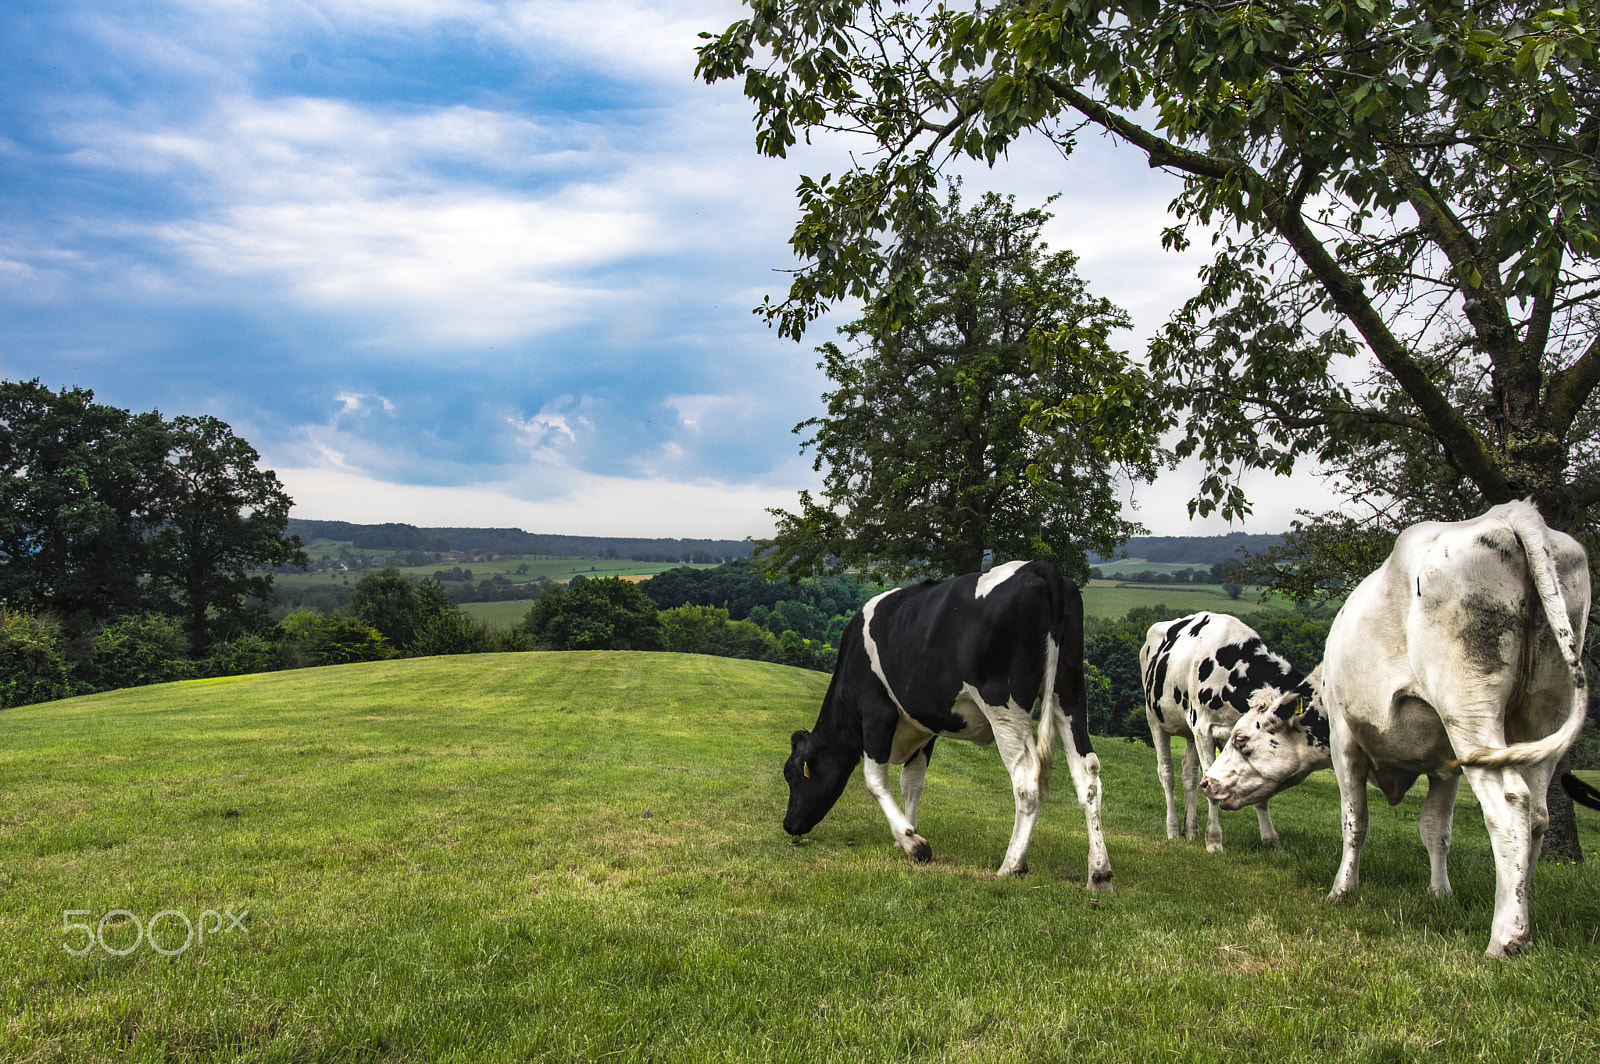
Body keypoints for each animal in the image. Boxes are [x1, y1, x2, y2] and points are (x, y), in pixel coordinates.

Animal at [782, 560, 1113, 889]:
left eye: (791, 776)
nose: (788, 824)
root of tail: (1040, 568)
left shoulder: (877, 714)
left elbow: (874, 781)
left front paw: (913, 843)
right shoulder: (924, 729)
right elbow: (911, 783)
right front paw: (906, 835)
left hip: (1003, 701)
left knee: (1027, 778)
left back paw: (1012, 865)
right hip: (1068, 691)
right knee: (1087, 775)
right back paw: (1099, 872)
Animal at [1140, 612, 1319, 851]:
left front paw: (1269, 839)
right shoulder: (1203, 729)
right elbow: (1210, 785)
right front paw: (1214, 840)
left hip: (1189, 732)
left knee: (1189, 774)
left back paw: (1191, 830)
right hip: (1156, 720)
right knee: (1167, 773)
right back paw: (1174, 829)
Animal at [1200, 501, 1589, 957]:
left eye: (1242, 739)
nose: (1208, 783)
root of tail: (1511, 513)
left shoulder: (1345, 742)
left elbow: (1355, 821)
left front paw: (1342, 890)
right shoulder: (1445, 766)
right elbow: (1436, 830)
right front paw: (1440, 894)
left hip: (1469, 709)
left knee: (1511, 804)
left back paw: (1505, 937)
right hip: (1543, 713)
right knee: (1539, 817)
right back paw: (1522, 920)